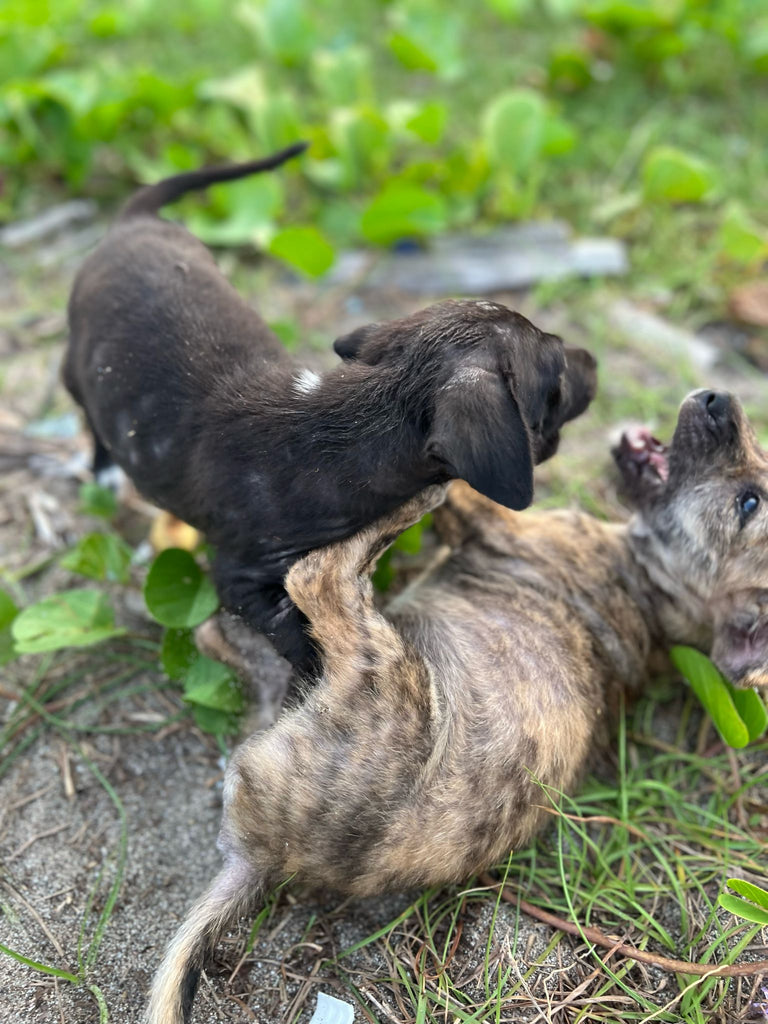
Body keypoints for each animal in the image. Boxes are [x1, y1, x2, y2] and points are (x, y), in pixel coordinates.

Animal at [63, 148, 598, 679]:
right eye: (555, 378)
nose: (593, 361)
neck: (343, 430)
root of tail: (135, 221)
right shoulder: (240, 579)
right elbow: (298, 635)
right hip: (78, 369)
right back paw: (105, 472)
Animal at [145, 389, 768, 1024]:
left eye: (750, 502)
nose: (720, 399)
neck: (652, 595)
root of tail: (269, 857)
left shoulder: (498, 524)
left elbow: (470, 492)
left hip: (388, 668)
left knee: (316, 575)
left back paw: (413, 497)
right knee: (222, 635)